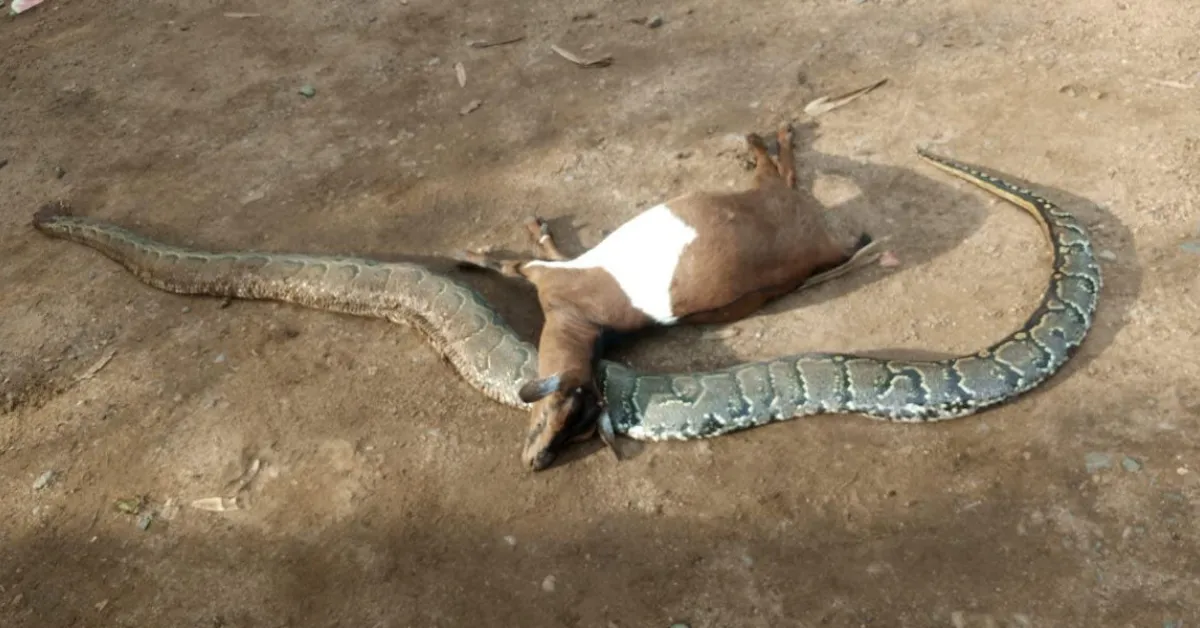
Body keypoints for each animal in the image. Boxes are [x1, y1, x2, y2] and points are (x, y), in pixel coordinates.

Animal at [458, 123, 872, 471]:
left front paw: (470, 255)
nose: (538, 461)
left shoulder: (549, 277)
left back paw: (763, 138)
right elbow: (550, 251)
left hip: (763, 194)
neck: (580, 322)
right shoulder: (566, 268)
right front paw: (534, 230)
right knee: (787, 176)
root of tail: (826, 248)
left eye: (568, 424)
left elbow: (509, 265)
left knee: (774, 170)